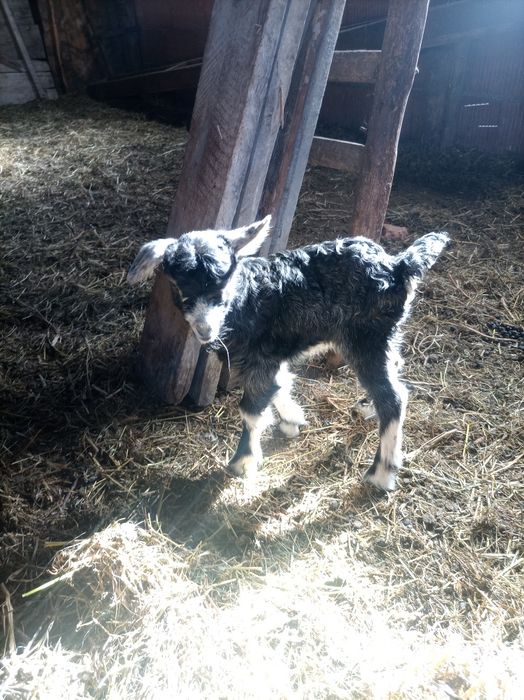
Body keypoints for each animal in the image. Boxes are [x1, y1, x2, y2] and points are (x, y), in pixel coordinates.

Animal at [128, 216, 448, 490]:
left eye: (222, 288)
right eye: (181, 290)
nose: (206, 331)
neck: (247, 299)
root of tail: (398, 266)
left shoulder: (259, 358)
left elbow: (251, 409)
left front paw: (242, 462)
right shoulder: (266, 356)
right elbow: (279, 384)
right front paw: (292, 418)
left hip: (366, 337)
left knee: (393, 398)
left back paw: (381, 472)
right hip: (381, 337)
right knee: (395, 370)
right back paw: (367, 407)